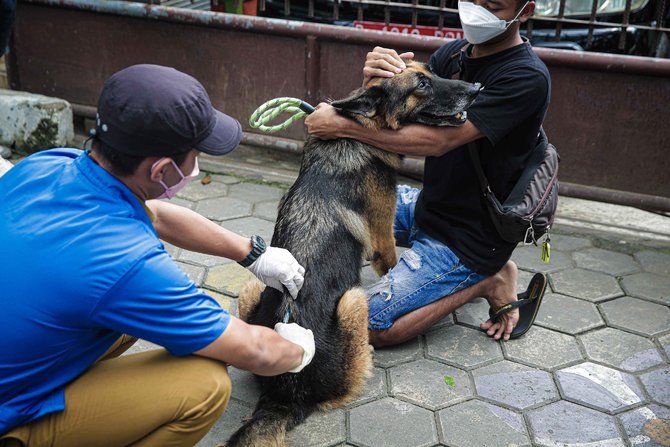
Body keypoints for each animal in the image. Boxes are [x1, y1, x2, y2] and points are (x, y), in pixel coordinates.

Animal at [228, 61, 480, 446]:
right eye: (421, 84)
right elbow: (389, 265)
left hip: (252, 287)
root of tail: (284, 396)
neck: (356, 135)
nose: (477, 88)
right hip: (353, 300)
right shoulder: (383, 237)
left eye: (431, 71)